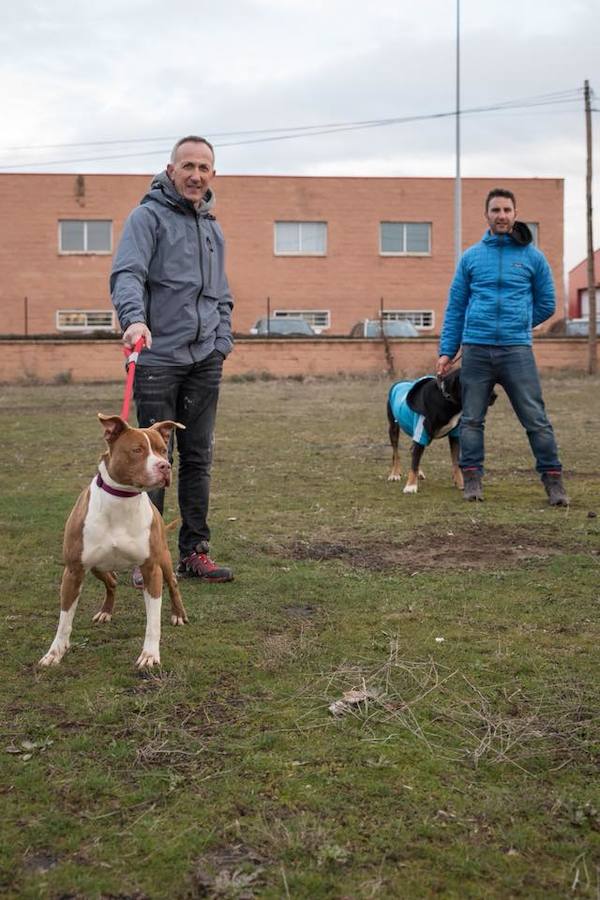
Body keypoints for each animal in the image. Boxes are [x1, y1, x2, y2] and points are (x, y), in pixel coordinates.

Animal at [39, 414, 188, 668]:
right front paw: (55, 652)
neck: (122, 499)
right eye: (137, 450)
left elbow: (153, 621)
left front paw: (150, 655)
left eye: (162, 450)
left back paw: (178, 614)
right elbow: (64, 620)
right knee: (112, 582)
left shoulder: (151, 570)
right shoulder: (73, 571)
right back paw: (105, 611)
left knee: (173, 584)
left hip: (164, 560)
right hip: (97, 566)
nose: (165, 466)